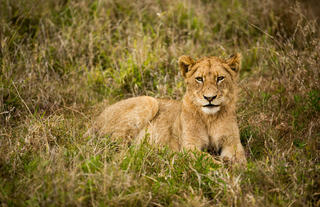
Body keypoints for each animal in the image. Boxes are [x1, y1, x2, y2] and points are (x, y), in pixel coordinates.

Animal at [90, 53, 248, 165]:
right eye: (199, 79)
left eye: (220, 78)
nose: (210, 98)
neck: (209, 118)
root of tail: (97, 119)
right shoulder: (189, 146)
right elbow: (207, 159)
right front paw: (222, 168)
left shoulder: (232, 143)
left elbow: (241, 161)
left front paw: (236, 168)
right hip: (149, 101)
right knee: (115, 147)